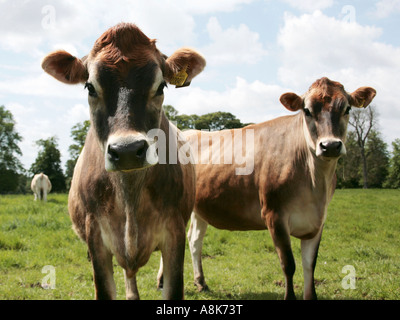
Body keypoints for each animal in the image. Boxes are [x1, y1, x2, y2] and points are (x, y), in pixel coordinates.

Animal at [159, 77, 376, 300]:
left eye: (347, 108)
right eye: (307, 111)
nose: (330, 145)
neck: (315, 184)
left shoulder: (319, 220)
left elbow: (310, 265)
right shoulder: (274, 214)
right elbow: (288, 264)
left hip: (199, 208)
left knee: (193, 240)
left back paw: (198, 281)